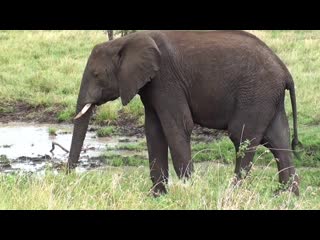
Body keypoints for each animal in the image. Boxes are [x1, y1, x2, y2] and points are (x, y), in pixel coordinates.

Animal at [67, 30, 300, 197]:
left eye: (96, 74)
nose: (68, 178)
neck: (126, 41)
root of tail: (285, 72)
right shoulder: (152, 85)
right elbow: (153, 131)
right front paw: (157, 197)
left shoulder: (166, 80)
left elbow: (178, 126)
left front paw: (189, 190)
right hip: (268, 98)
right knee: (278, 141)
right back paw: (286, 197)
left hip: (256, 94)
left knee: (242, 137)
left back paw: (232, 193)